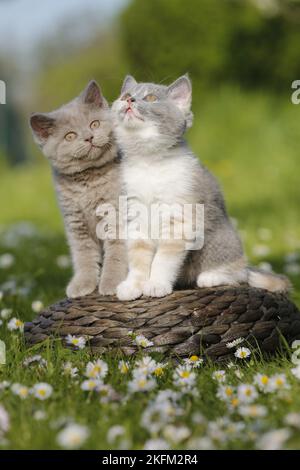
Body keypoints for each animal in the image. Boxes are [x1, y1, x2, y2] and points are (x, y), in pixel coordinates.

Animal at [30, 79, 127, 296]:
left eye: (94, 124)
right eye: (70, 136)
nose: (89, 137)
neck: (87, 181)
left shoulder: (116, 215)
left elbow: (117, 250)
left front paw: (112, 282)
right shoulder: (75, 221)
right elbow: (83, 255)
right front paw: (83, 283)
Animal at [111, 73, 290, 302]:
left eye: (150, 98)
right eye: (125, 95)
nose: (129, 100)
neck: (149, 162)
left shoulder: (179, 216)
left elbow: (164, 258)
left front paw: (156, 284)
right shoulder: (136, 216)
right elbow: (138, 257)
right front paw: (133, 285)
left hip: (222, 242)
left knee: (240, 274)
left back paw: (212, 276)